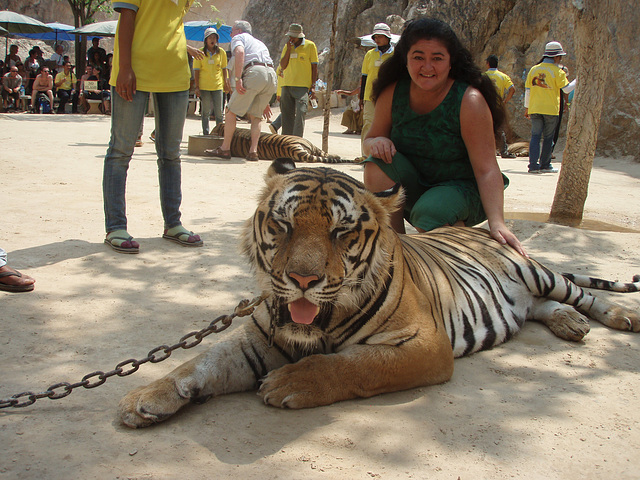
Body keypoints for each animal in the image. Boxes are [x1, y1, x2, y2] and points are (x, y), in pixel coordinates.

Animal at [117, 159, 636, 430]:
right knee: (539, 307)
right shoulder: (260, 339)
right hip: (527, 294)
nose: (302, 279)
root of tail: (486, 229)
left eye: (341, 232)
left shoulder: (424, 343)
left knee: (578, 291)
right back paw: (570, 323)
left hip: (535, 270)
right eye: (284, 225)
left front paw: (289, 383)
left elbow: (351, 364)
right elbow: (199, 362)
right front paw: (145, 396)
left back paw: (615, 316)